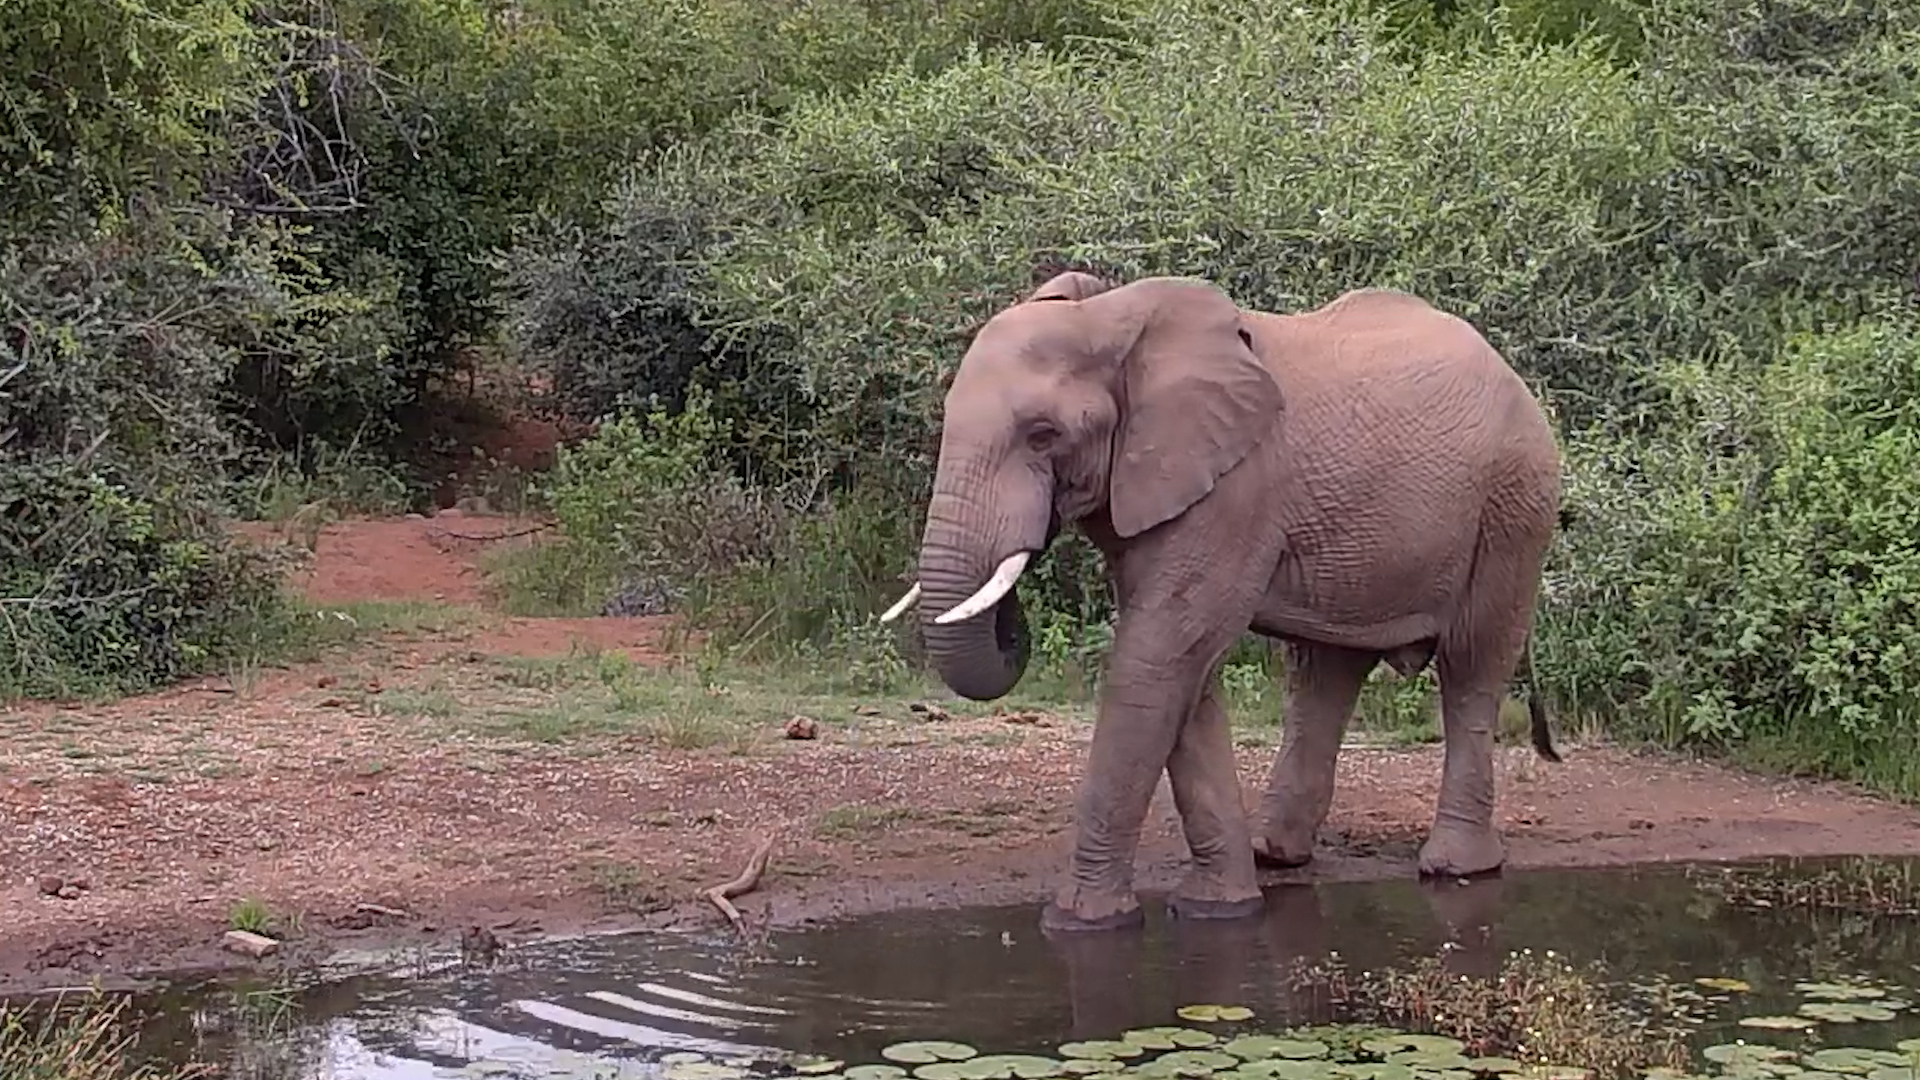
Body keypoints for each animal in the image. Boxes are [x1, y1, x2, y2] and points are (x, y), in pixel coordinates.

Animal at [879, 269, 1564, 933]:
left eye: (1043, 435)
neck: (1113, 317)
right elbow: (1185, 674)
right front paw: (1219, 909)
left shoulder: (1235, 489)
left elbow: (1159, 655)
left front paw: (1079, 923)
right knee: (1327, 670)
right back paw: (1275, 853)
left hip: (1513, 506)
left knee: (1473, 665)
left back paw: (1455, 868)